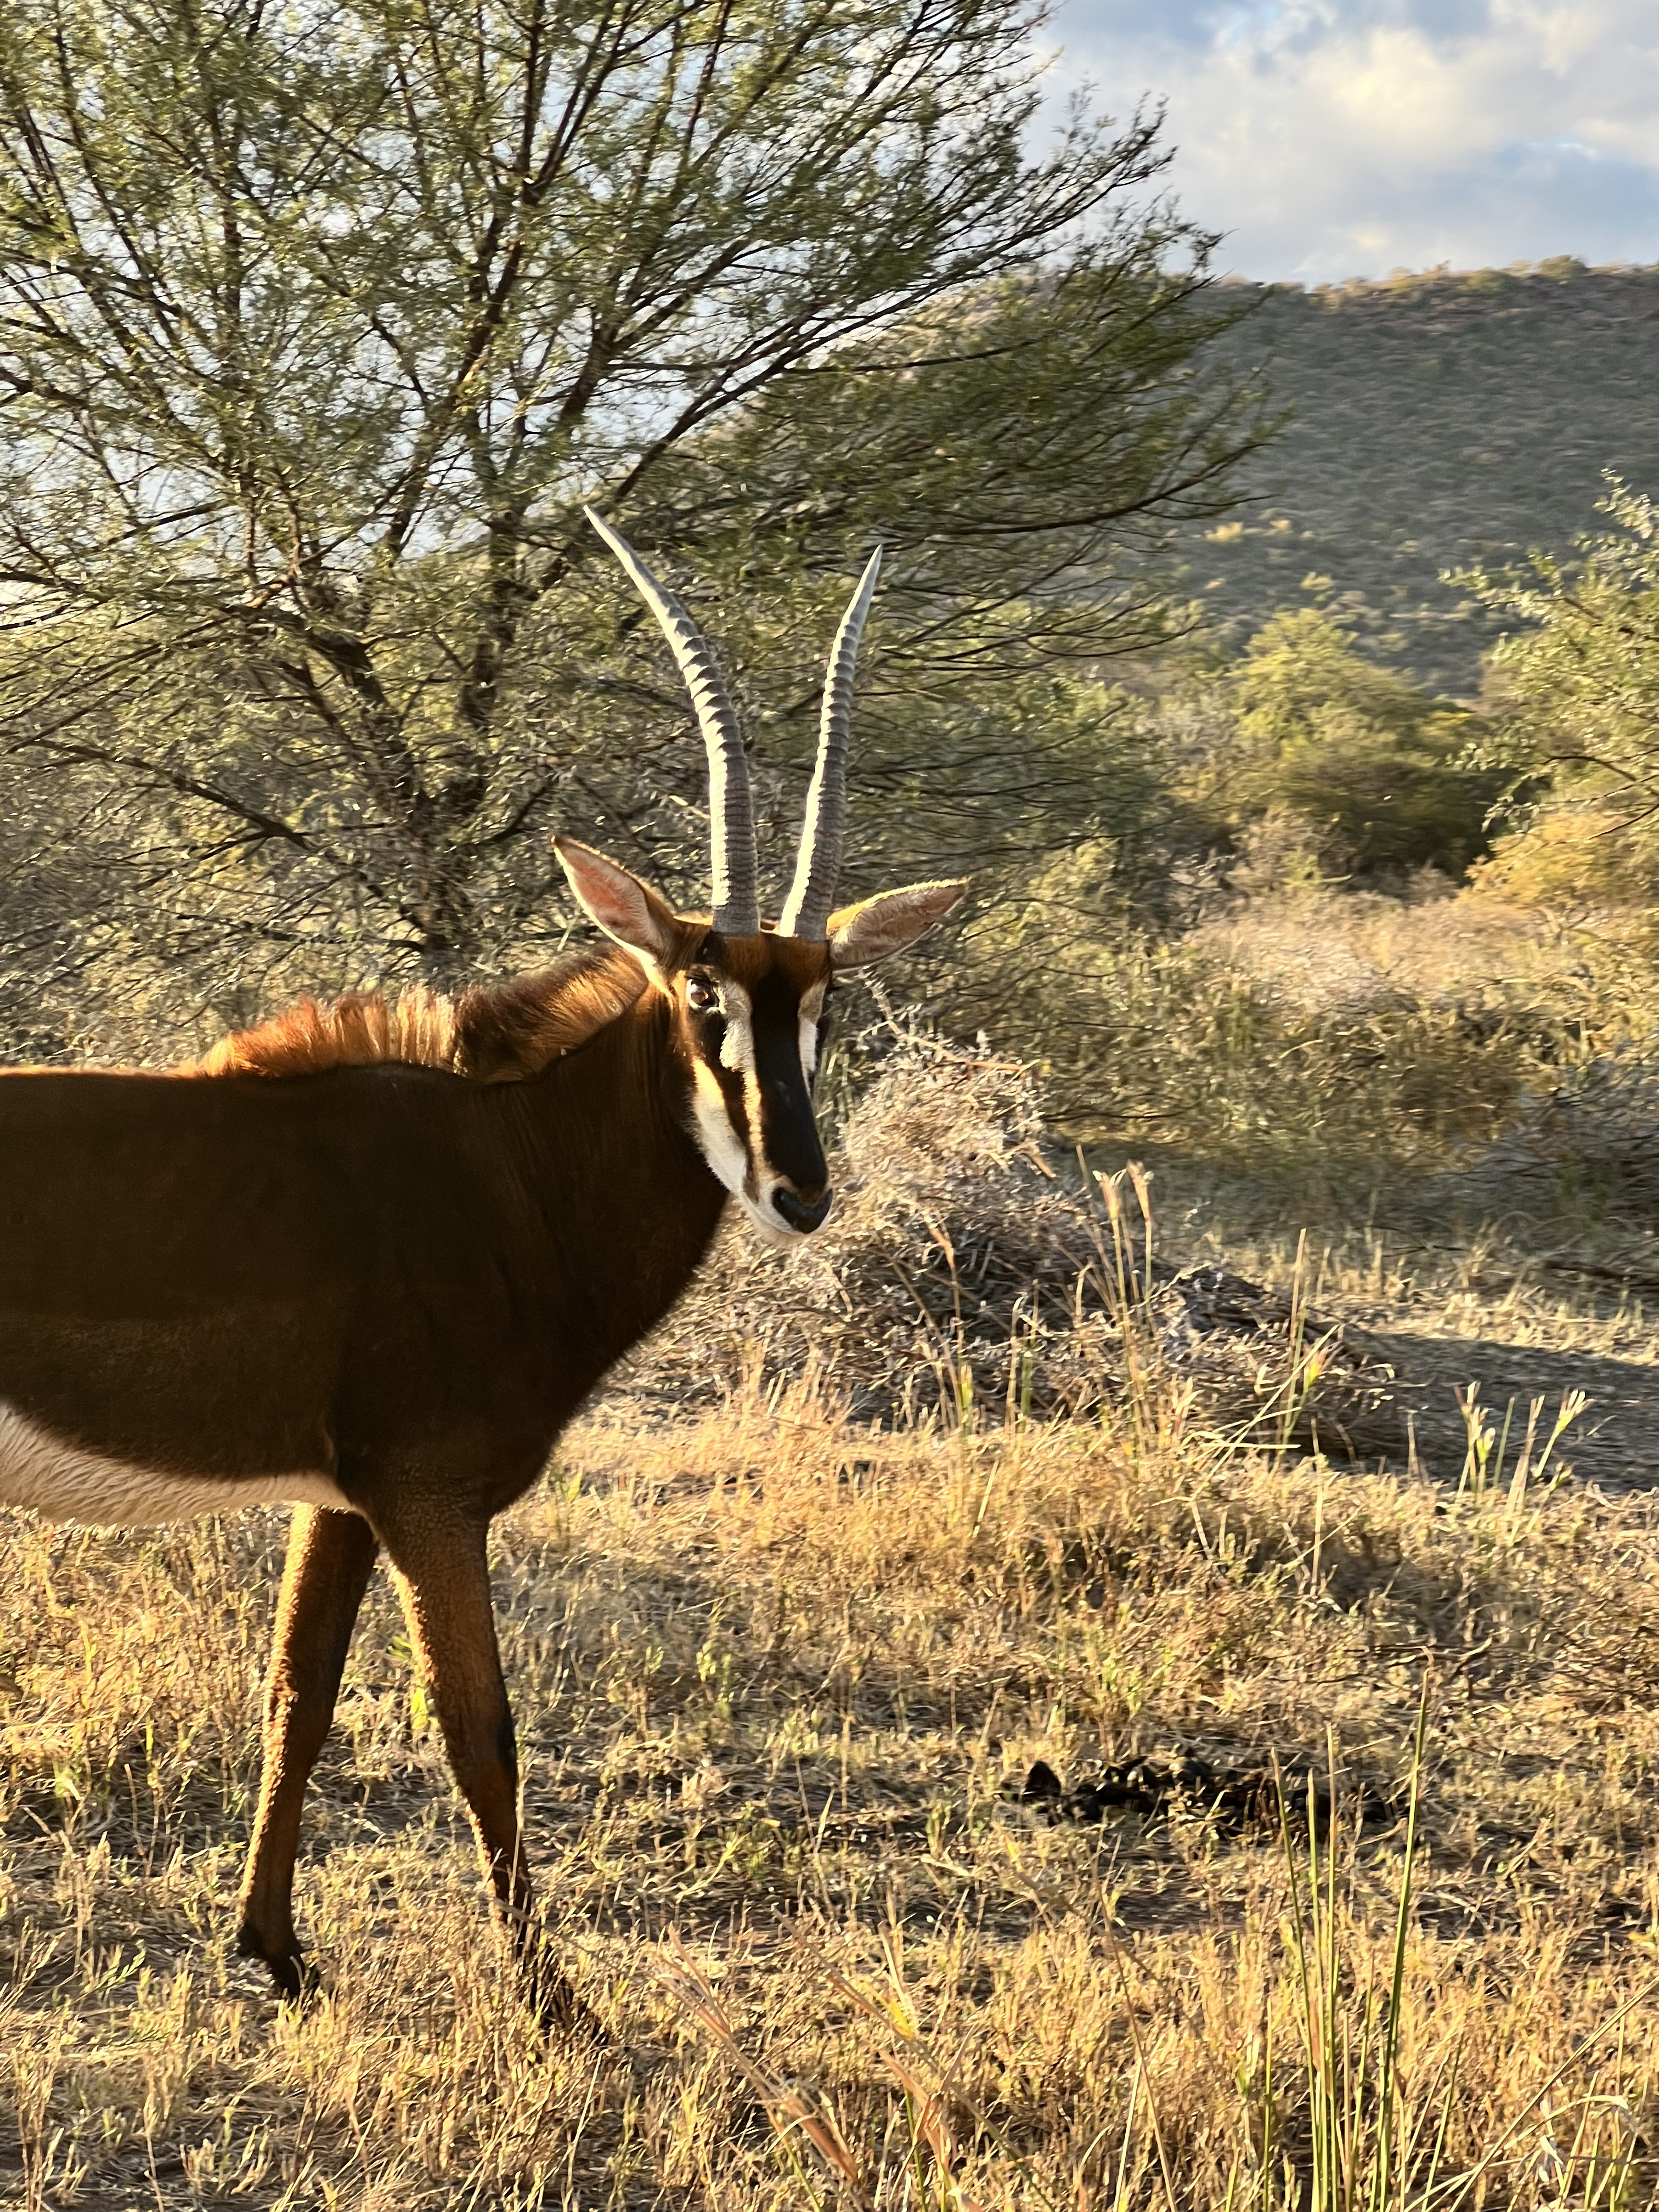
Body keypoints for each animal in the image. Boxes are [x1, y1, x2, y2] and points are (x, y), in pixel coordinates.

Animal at [0, 512, 964, 2018]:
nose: (800, 1194)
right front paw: (551, 1998)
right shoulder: (429, 1497)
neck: (512, 1164)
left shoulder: (341, 1500)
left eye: (826, 1002)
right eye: (700, 989)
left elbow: (297, 1697)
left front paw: (275, 1953)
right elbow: (479, 1725)